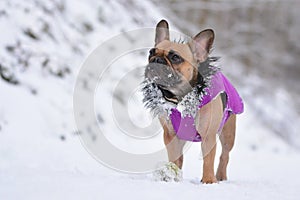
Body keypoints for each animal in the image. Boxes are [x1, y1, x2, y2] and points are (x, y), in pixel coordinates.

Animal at [142, 19, 243, 183]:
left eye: (175, 57)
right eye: (151, 52)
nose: (156, 59)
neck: (180, 98)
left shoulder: (208, 136)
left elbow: (208, 159)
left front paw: (208, 180)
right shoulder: (170, 135)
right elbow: (174, 157)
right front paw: (171, 175)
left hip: (228, 134)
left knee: (224, 155)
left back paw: (220, 176)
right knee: (180, 158)